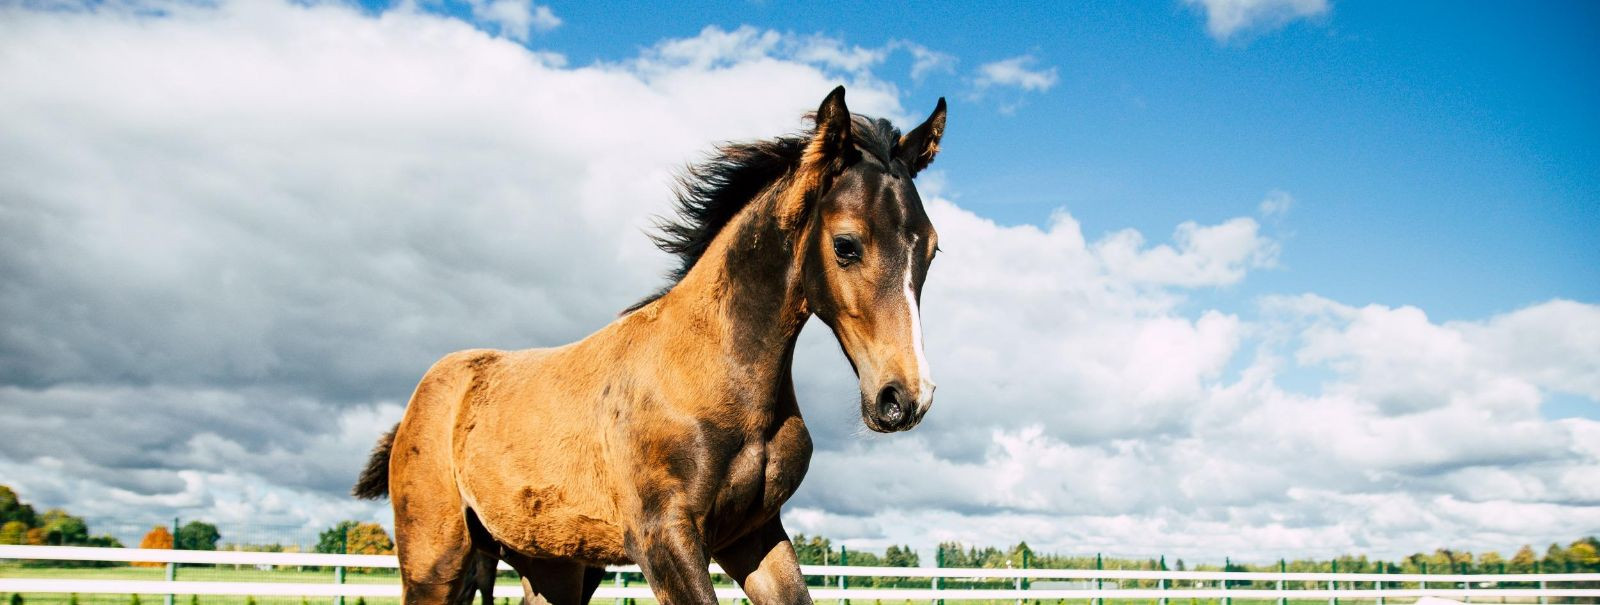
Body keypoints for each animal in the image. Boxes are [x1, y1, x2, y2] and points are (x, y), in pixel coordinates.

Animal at [350, 87, 940, 605]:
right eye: (846, 244)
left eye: (932, 249)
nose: (905, 397)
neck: (713, 370)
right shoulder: (664, 539)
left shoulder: (753, 534)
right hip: (437, 558)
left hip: (554, 563)